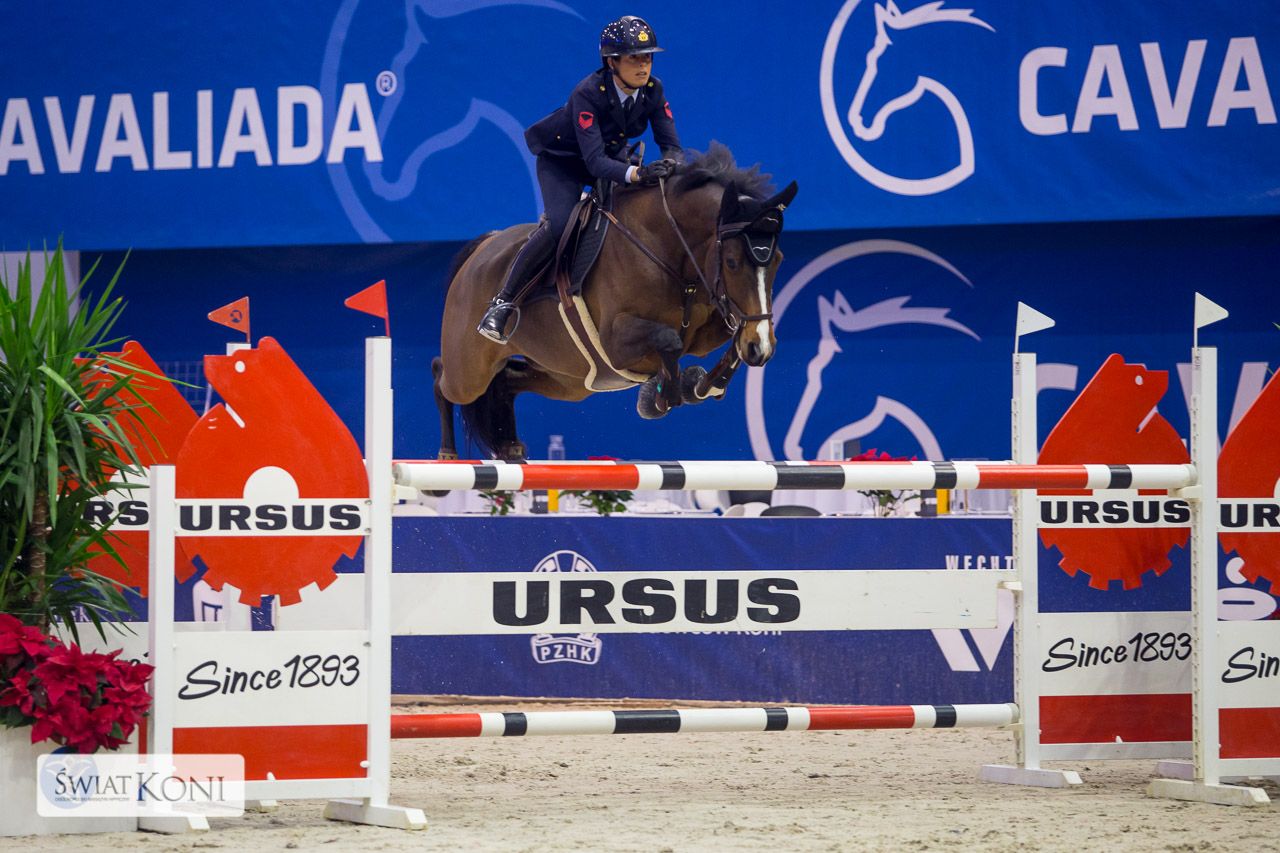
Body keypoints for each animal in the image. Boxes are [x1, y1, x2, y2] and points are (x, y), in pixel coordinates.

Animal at [433, 143, 798, 460]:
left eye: (778, 259)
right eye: (733, 262)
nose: (762, 350)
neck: (668, 248)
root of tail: (483, 246)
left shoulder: (708, 330)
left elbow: (729, 339)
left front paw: (701, 385)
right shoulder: (615, 342)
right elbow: (668, 339)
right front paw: (660, 397)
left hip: (568, 380)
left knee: (507, 381)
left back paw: (509, 446)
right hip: (470, 371)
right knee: (442, 377)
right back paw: (447, 454)